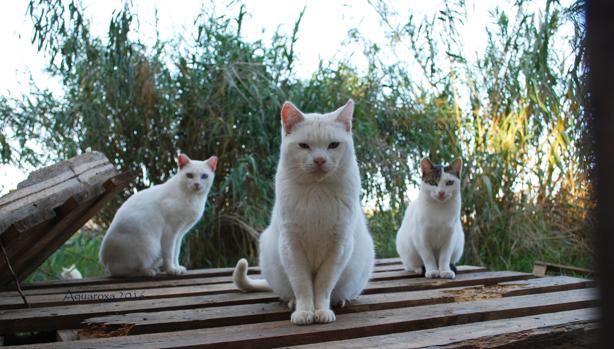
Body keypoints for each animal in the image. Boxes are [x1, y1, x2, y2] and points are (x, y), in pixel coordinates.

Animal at [233, 99, 376, 324]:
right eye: (304, 145)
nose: (319, 160)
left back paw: (341, 300)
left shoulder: (339, 246)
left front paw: (322, 311)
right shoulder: (291, 246)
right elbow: (303, 285)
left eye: (333, 145)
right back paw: (292, 302)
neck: (316, 192)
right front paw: (304, 311)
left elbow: (323, 285)